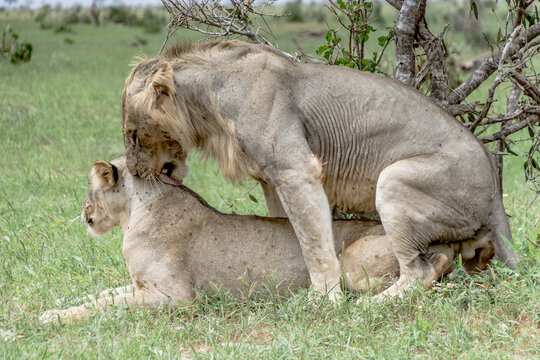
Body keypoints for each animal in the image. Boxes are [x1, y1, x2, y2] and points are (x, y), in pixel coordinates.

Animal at [39, 158, 494, 324]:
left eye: (90, 189)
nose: (84, 212)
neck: (136, 211)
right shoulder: (141, 285)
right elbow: (102, 293)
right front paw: (54, 306)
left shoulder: (175, 299)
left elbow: (104, 305)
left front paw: (49, 318)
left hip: (353, 264)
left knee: (423, 270)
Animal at [120, 39, 516, 300]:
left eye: (133, 135)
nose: (136, 173)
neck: (209, 103)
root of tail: (495, 185)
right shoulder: (271, 179)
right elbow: (293, 233)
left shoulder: (296, 169)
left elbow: (313, 242)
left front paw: (325, 299)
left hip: (394, 179)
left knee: (418, 272)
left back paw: (371, 305)